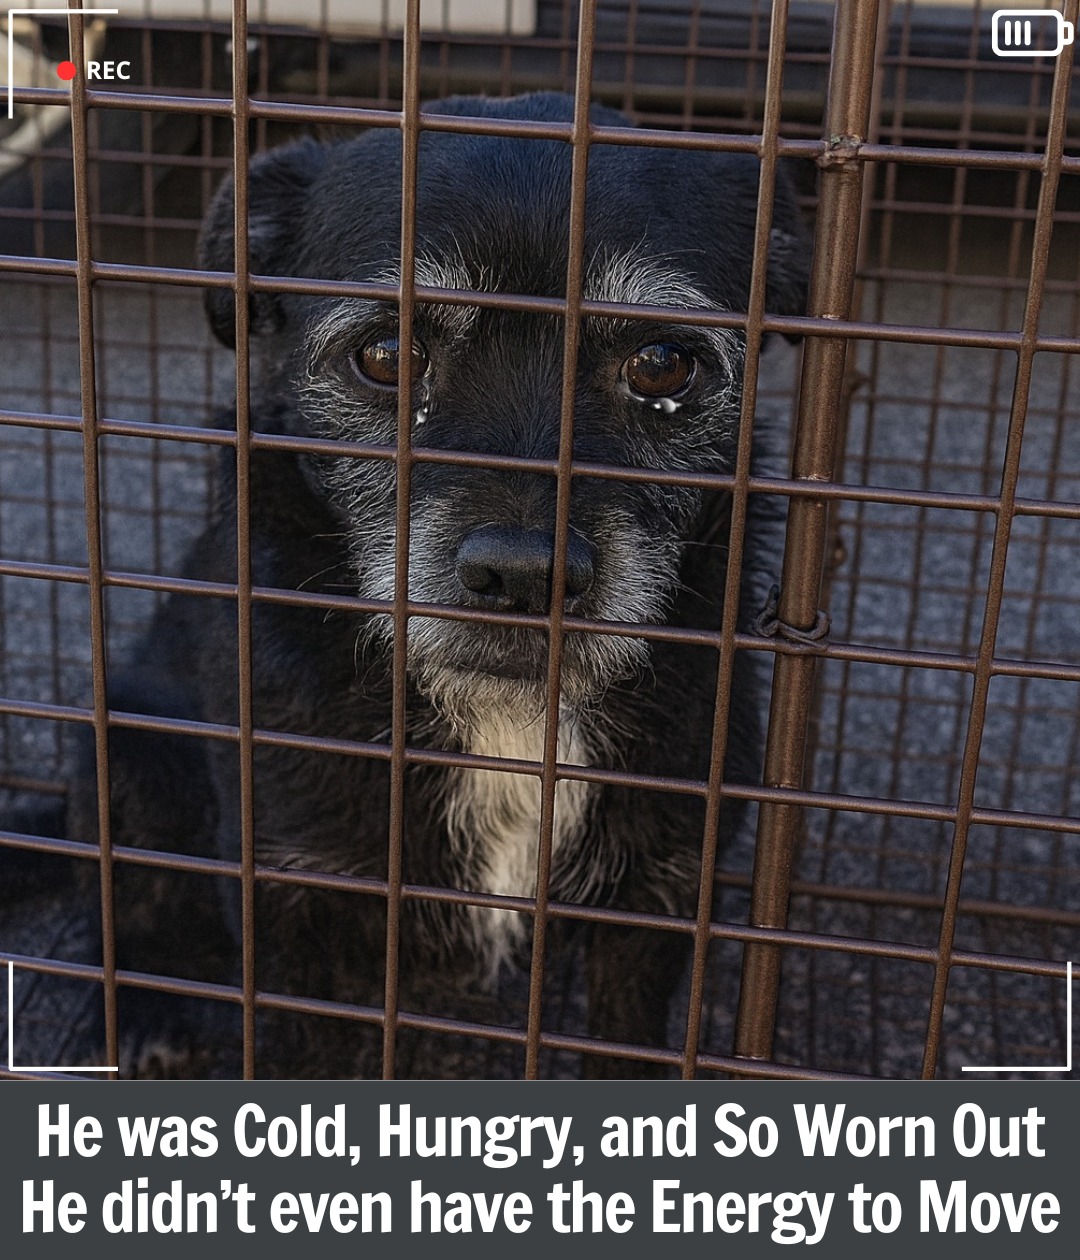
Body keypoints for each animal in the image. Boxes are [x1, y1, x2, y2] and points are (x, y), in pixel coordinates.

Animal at [63, 92, 809, 1077]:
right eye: (385, 354)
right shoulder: (291, 898)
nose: (525, 575)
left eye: (662, 364)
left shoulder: (655, 899)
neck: (507, 717)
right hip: (125, 748)